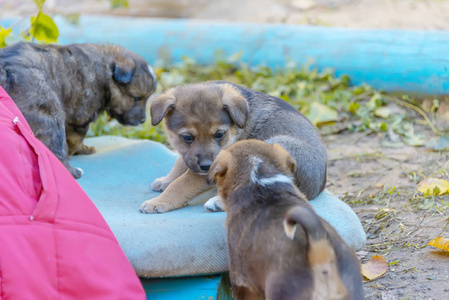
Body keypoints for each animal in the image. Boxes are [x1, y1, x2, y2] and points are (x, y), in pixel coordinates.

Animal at [0, 41, 158, 177]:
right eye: (136, 98)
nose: (142, 120)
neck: (105, 70)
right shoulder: (80, 118)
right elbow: (75, 140)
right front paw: (80, 150)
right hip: (49, 113)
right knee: (53, 147)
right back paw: (72, 172)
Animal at [140, 80, 326, 213]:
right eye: (187, 137)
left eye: (219, 134)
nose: (207, 166)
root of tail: (315, 190)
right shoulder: (189, 157)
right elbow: (180, 164)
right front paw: (166, 180)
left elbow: (181, 184)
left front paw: (159, 202)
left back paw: (218, 202)